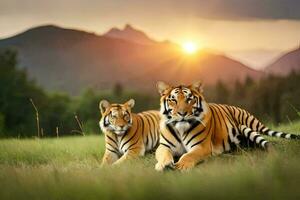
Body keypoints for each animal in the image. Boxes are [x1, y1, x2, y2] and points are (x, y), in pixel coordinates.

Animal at [155, 80, 300, 171]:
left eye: (189, 99)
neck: (180, 129)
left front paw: (181, 166)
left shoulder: (201, 146)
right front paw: (162, 165)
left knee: (268, 143)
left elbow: (188, 155)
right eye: (173, 100)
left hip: (248, 127)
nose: (182, 113)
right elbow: (164, 154)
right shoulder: (164, 146)